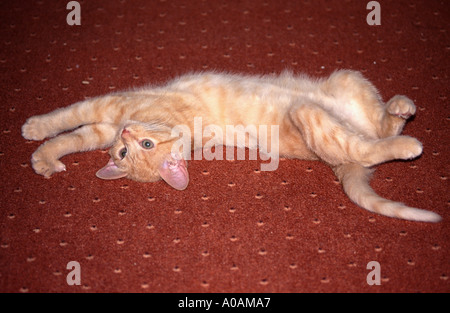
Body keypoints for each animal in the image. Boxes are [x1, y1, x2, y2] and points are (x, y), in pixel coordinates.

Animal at [22, 70, 442, 222]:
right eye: (125, 153)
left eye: (145, 143)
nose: (124, 136)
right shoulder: (102, 123)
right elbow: (68, 135)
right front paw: (45, 157)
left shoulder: (105, 108)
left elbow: (62, 120)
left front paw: (33, 130)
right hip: (322, 109)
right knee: (373, 139)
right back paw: (403, 130)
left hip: (336, 87)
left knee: (376, 135)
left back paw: (403, 118)